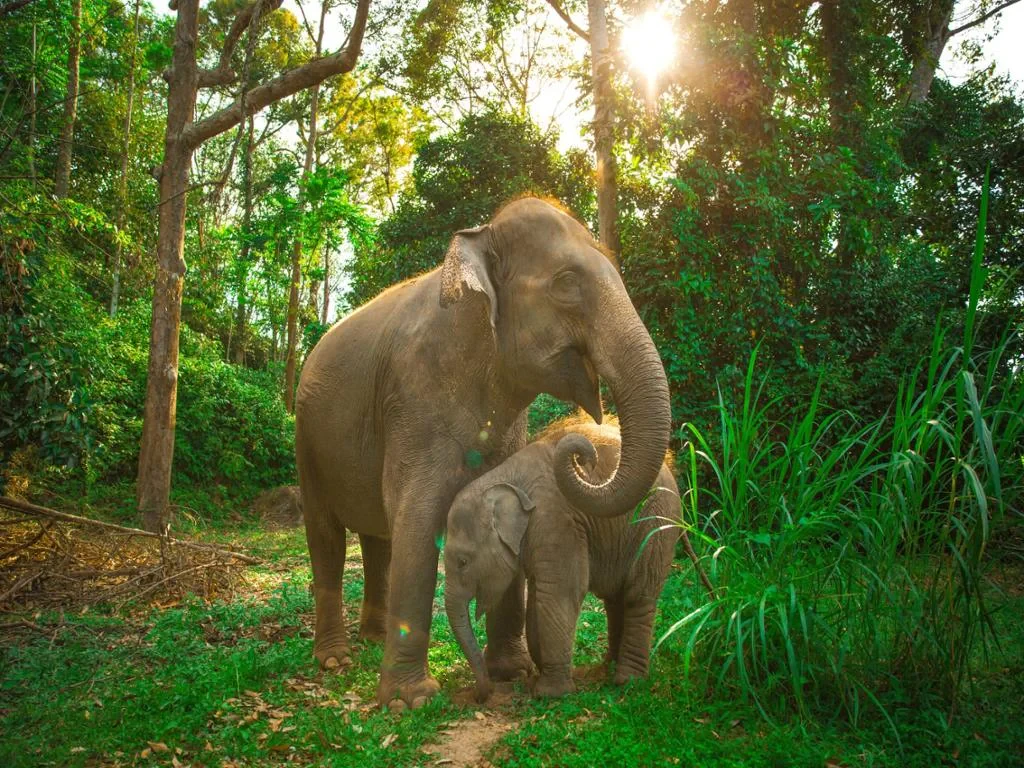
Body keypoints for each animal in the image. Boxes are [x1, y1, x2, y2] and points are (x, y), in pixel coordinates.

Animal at [444, 417, 680, 701]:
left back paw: (628, 681)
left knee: (639, 594)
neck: (505, 477)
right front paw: (539, 679)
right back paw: (607, 669)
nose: (484, 695)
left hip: (657, 522)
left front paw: (550, 693)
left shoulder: (556, 519)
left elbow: (561, 590)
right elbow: (539, 592)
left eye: (463, 562)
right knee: (615, 597)